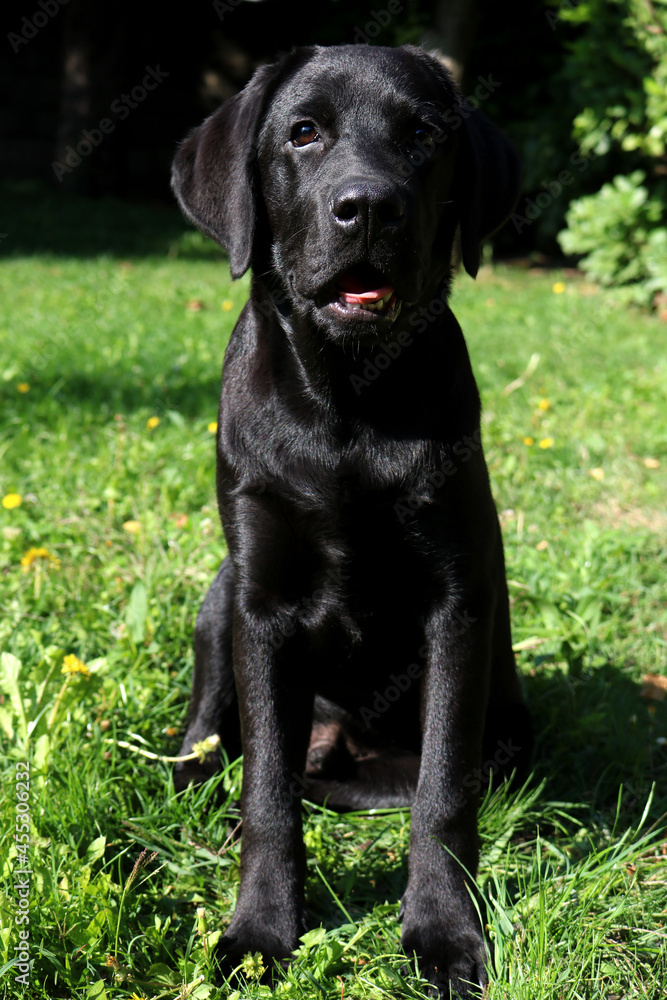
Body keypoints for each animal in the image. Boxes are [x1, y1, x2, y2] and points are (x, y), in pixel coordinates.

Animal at [171, 41, 532, 1000]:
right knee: (217, 740)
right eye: (303, 132)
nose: (368, 206)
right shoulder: (260, 601)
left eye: (423, 135)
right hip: (219, 592)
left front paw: (442, 933)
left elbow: (443, 793)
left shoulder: (458, 604)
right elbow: (267, 791)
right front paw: (260, 929)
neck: (349, 401)